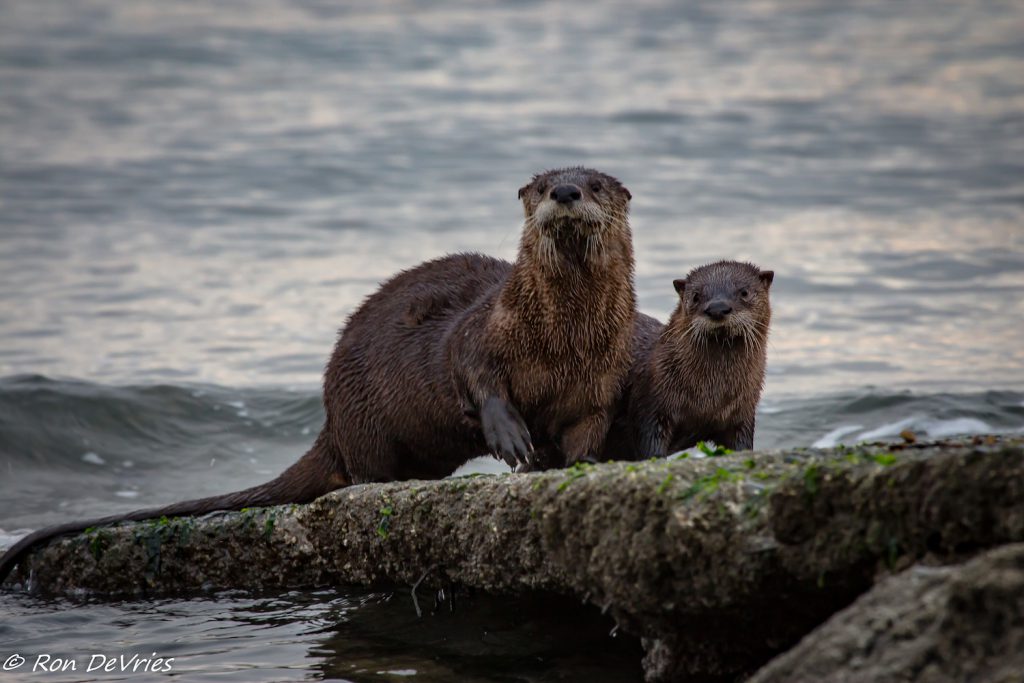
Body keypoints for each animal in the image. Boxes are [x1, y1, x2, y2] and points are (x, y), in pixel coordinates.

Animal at [0, 165, 634, 581]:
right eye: (543, 184)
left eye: (596, 184)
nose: (566, 191)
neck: (560, 340)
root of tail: (330, 420)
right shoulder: (482, 330)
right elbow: (477, 378)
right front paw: (511, 439)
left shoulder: (602, 378)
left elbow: (587, 429)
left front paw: (573, 465)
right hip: (364, 415)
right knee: (363, 471)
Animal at [598, 260, 770, 458]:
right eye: (696, 296)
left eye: (744, 292)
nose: (717, 308)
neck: (709, 397)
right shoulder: (650, 402)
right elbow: (649, 441)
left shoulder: (742, 413)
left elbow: (741, 444)